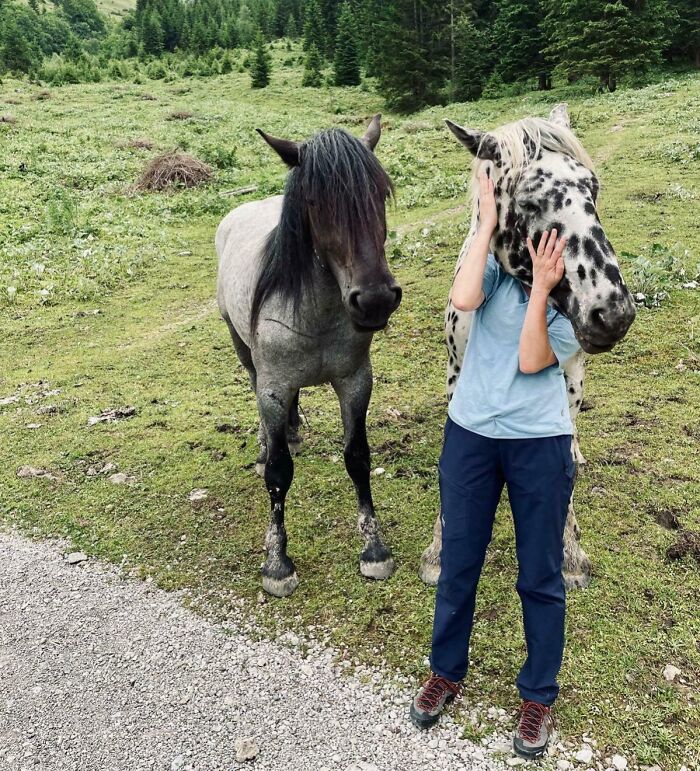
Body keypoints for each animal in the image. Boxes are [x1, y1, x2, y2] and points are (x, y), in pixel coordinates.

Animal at [215, 116, 400, 596]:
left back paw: (294, 431)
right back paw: (266, 444)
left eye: (380, 194)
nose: (375, 300)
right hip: (244, 353)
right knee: (256, 395)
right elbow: (280, 475)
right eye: (316, 202)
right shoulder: (274, 387)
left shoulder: (355, 381)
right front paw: (277, 562)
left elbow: (357, 457)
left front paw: (374, 549)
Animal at [418, 102, 636, 592]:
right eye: (530, 201)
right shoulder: (456, 376)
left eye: (593, 187)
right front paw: (439, 550)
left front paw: (570, 553)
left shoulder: (566, 379)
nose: (612, 313)